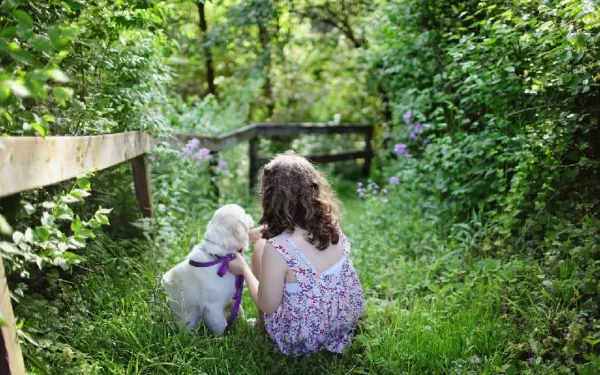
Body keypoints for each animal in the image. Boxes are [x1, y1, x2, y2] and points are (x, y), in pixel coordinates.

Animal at [161, 204, 252, 336]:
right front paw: (225, 337)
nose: (250, 215)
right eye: (244, 214)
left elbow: (239, 311)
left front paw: (247, 323)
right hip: (187, 317)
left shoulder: (233, 297)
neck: (220, 258)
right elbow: (221, 326)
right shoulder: (213, 307)